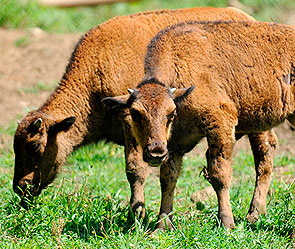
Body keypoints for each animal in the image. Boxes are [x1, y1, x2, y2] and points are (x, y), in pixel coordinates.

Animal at [12, 7, 256, 220]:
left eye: (35, 146)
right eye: (15, 147)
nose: (20, 187)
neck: (97, 67)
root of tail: (245, 17)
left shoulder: (131, 123)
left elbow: (134, 169)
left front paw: (137, 213)